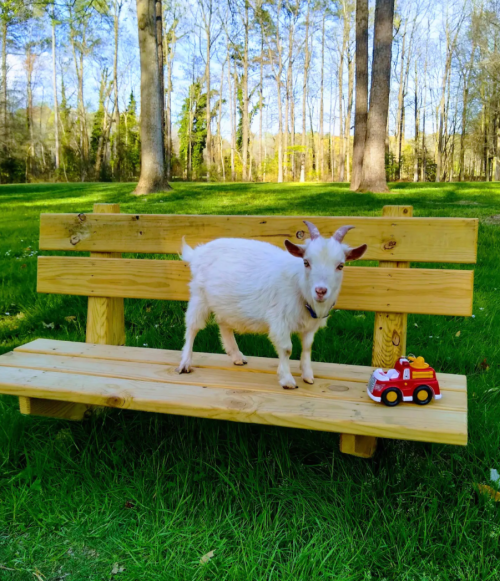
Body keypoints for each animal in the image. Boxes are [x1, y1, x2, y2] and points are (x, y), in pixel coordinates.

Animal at [176, 222, 368, 390]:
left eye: (340, 265)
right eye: (306, 262)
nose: (320, 291)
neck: (299, 286)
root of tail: (198, 252)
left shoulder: (309, 326)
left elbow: (307, 347)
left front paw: (308, 375)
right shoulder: (280, 320)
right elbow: (287, 349)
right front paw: (287, 380)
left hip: (226, 303)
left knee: (224, 323)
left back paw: (237, 355)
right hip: (199, 296)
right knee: (192, 327)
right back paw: (185, 363)